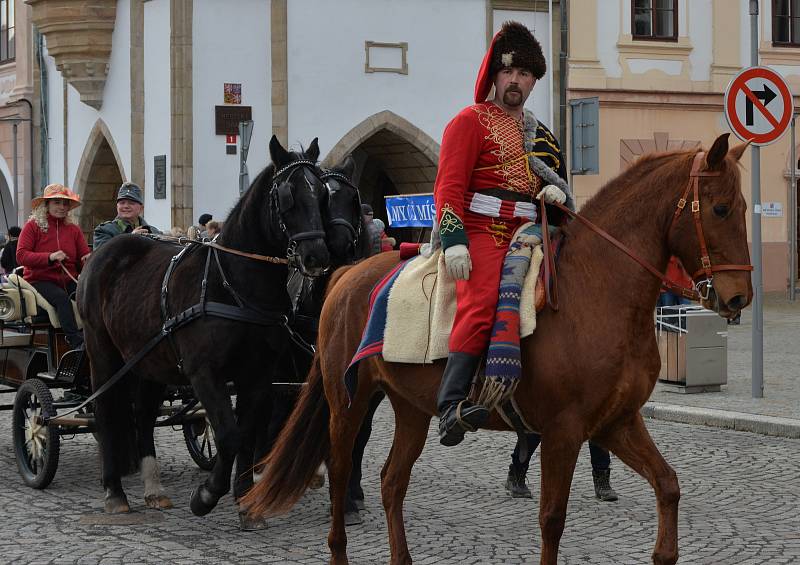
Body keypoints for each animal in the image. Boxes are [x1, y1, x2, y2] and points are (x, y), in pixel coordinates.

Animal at [79, 135, 330, 524]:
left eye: (321, 194)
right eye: (287, 195)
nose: (316, 255)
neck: (233, 286)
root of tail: (105, 252)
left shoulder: (258, 375)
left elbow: (246, 434)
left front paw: (246, 503)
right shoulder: (204, 373)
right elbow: (228, 435)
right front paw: (207, 495)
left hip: (149, 359)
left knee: (144, 413)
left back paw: (153, 488)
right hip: (103, 353)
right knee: (107, 411)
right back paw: (115, 493)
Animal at [242, 133, 752, 564]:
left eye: (742, 207)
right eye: (721, 209)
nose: (738, 298)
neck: (596, 290)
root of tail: (347, 273)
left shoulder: (616, 423)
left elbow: (668, 485)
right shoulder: (564, 431)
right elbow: (552, 520)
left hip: (411, 408)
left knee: (391, 482)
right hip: (348, 404)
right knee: (341, 472)